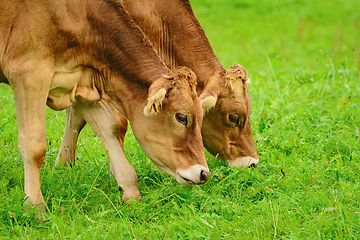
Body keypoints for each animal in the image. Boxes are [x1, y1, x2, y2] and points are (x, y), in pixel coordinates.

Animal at [0, 0, 210, 210]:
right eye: (181, 117)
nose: (203, 173)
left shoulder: (80, 80)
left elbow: (108, 128)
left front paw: (129, 189)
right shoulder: (29, 73)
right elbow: (34, 145)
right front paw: (35, 206)